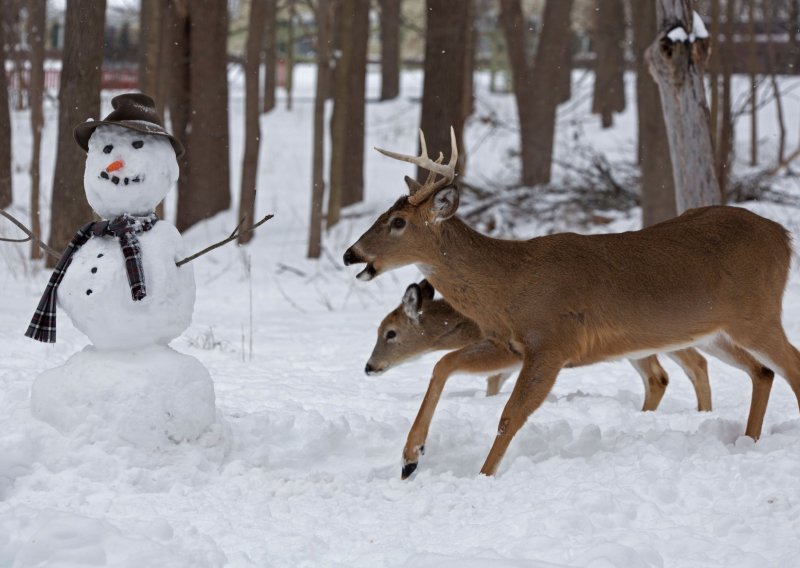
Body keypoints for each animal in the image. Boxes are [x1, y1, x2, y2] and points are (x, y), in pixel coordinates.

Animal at [368, 278, 712, 406]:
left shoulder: (510, 353)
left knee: (685, 366)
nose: (369, 367)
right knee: (670, 372)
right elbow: (492, 387)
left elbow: (492, 383)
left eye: (390, 332)